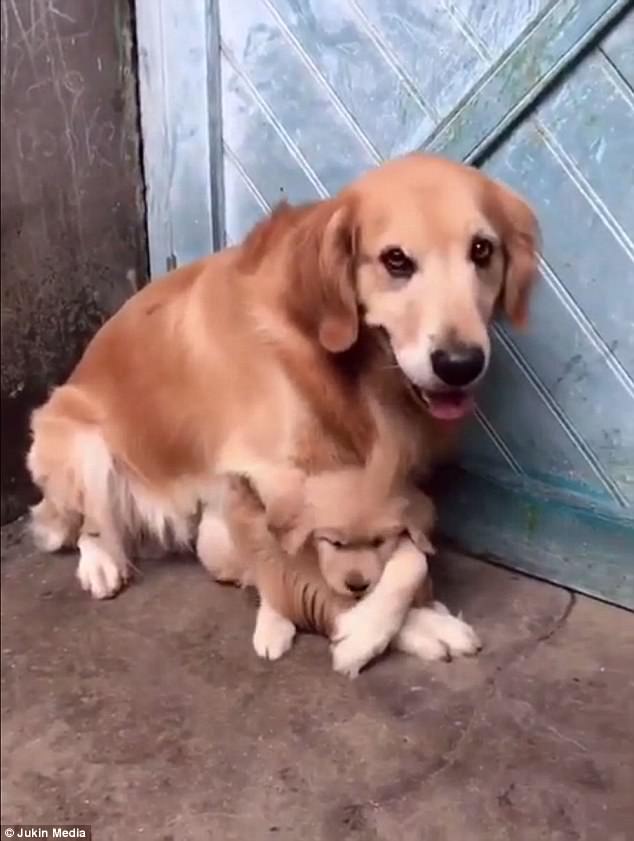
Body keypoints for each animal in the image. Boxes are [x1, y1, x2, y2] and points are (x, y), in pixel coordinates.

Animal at [27, 154, 536, 672]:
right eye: (396, 259)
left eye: (482, 250)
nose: (460, 364)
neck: (325, 359)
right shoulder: (268, 488)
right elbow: (309, 580)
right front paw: (374, 632)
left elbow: (408, 555)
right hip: (75, 437)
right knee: (91, 524)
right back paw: (101, 564)